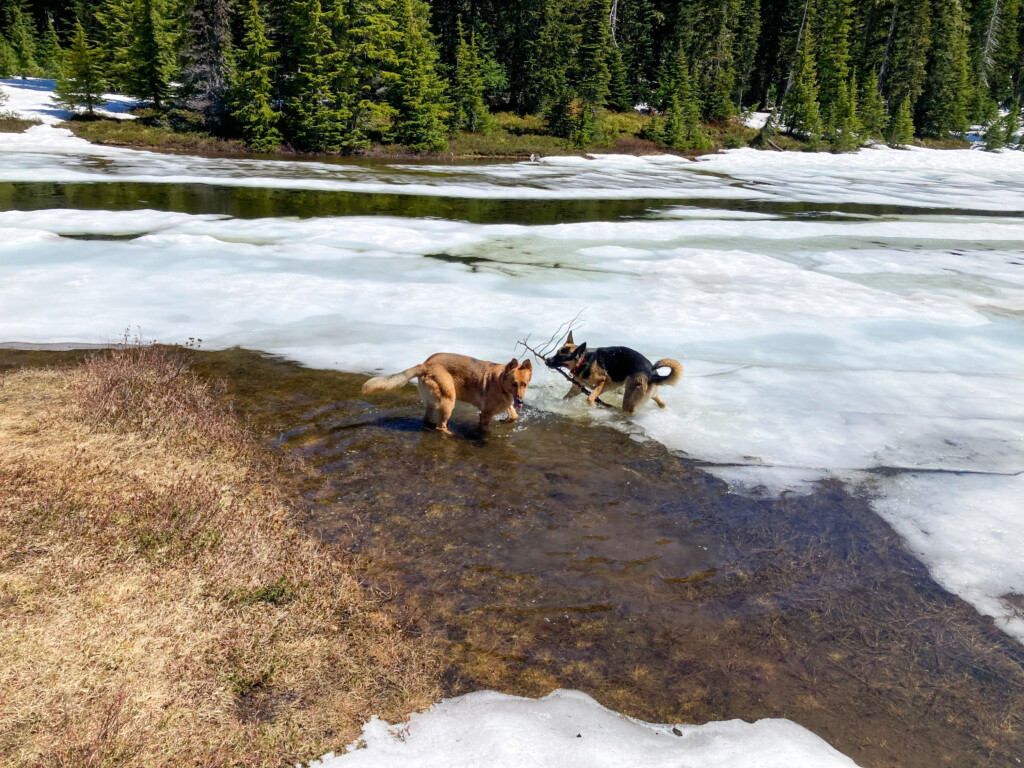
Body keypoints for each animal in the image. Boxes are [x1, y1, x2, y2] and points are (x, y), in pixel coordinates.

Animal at [362, 354, 536, 434]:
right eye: (514, 384)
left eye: (524, 385)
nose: (521, 401)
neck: (500, 382)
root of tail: (425, 365)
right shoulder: (485, 413)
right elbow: (485, 429)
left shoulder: (508, 404)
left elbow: (514, 415)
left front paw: (506, 420)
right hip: (449, 400)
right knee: (440, 426)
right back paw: (451, 434)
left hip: (433, 403)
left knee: (427, 419)